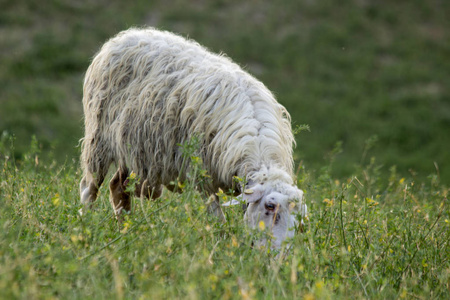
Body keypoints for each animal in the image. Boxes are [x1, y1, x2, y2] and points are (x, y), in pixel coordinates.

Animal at [80, 27, 306, 248]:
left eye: (299, 216)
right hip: (97, 140)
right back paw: (85, 230)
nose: (278, 255)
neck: (256, 144)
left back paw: (125, 231)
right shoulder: (203, 178)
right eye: (270, 206)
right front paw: (223, 248)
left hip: (132, 150)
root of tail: (125, 35)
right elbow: (218, 221)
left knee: (118, 187)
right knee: (89, 189)